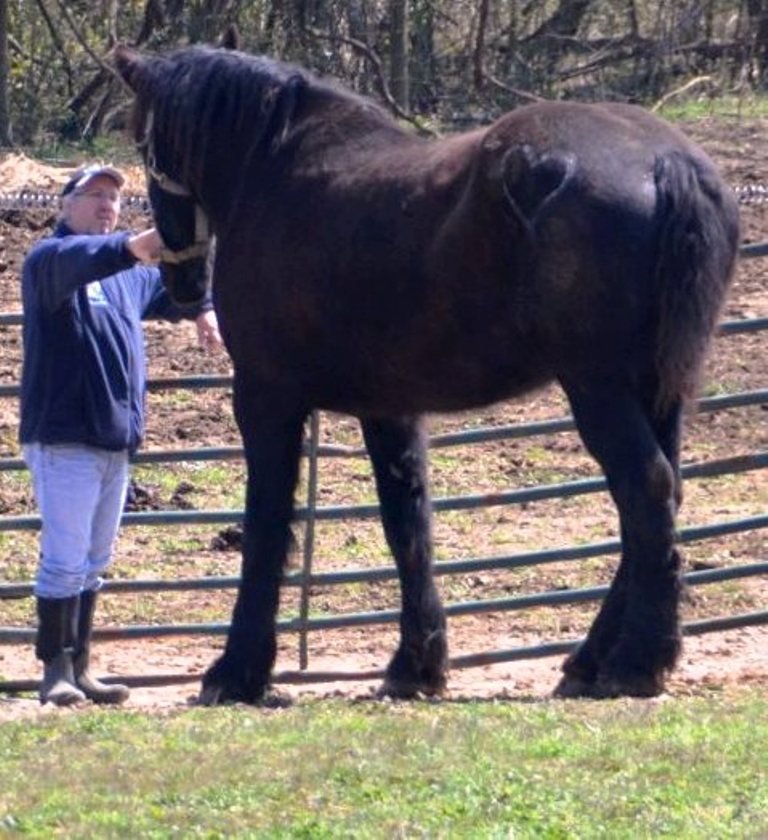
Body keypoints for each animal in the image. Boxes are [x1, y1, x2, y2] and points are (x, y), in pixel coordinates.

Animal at [113, 44, 740, 706]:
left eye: (143, 143)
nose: (180, 281)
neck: (273, 169)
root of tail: (665, 161)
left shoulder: (267, 396)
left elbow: (266, 528)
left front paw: (236, 671)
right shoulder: (389, 407)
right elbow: (407, 525)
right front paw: (416, 666)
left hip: (601, 388)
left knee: (645, 490)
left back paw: (636, 663)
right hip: (662, 388)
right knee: (660, 501)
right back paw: (591, 662)